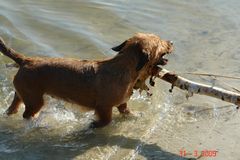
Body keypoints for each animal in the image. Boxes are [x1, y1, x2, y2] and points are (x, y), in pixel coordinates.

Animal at [0, 32, 172, 127]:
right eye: (160, 42)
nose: (171, 41)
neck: (123, 67)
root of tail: (25, 60)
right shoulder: (104, 107)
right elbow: (106, 121)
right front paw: (94, 125)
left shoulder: (122, 103)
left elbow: (126, 110)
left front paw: (134, 115)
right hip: (35, 101)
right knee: (26, 115)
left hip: (23, 96)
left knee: (14, 107)